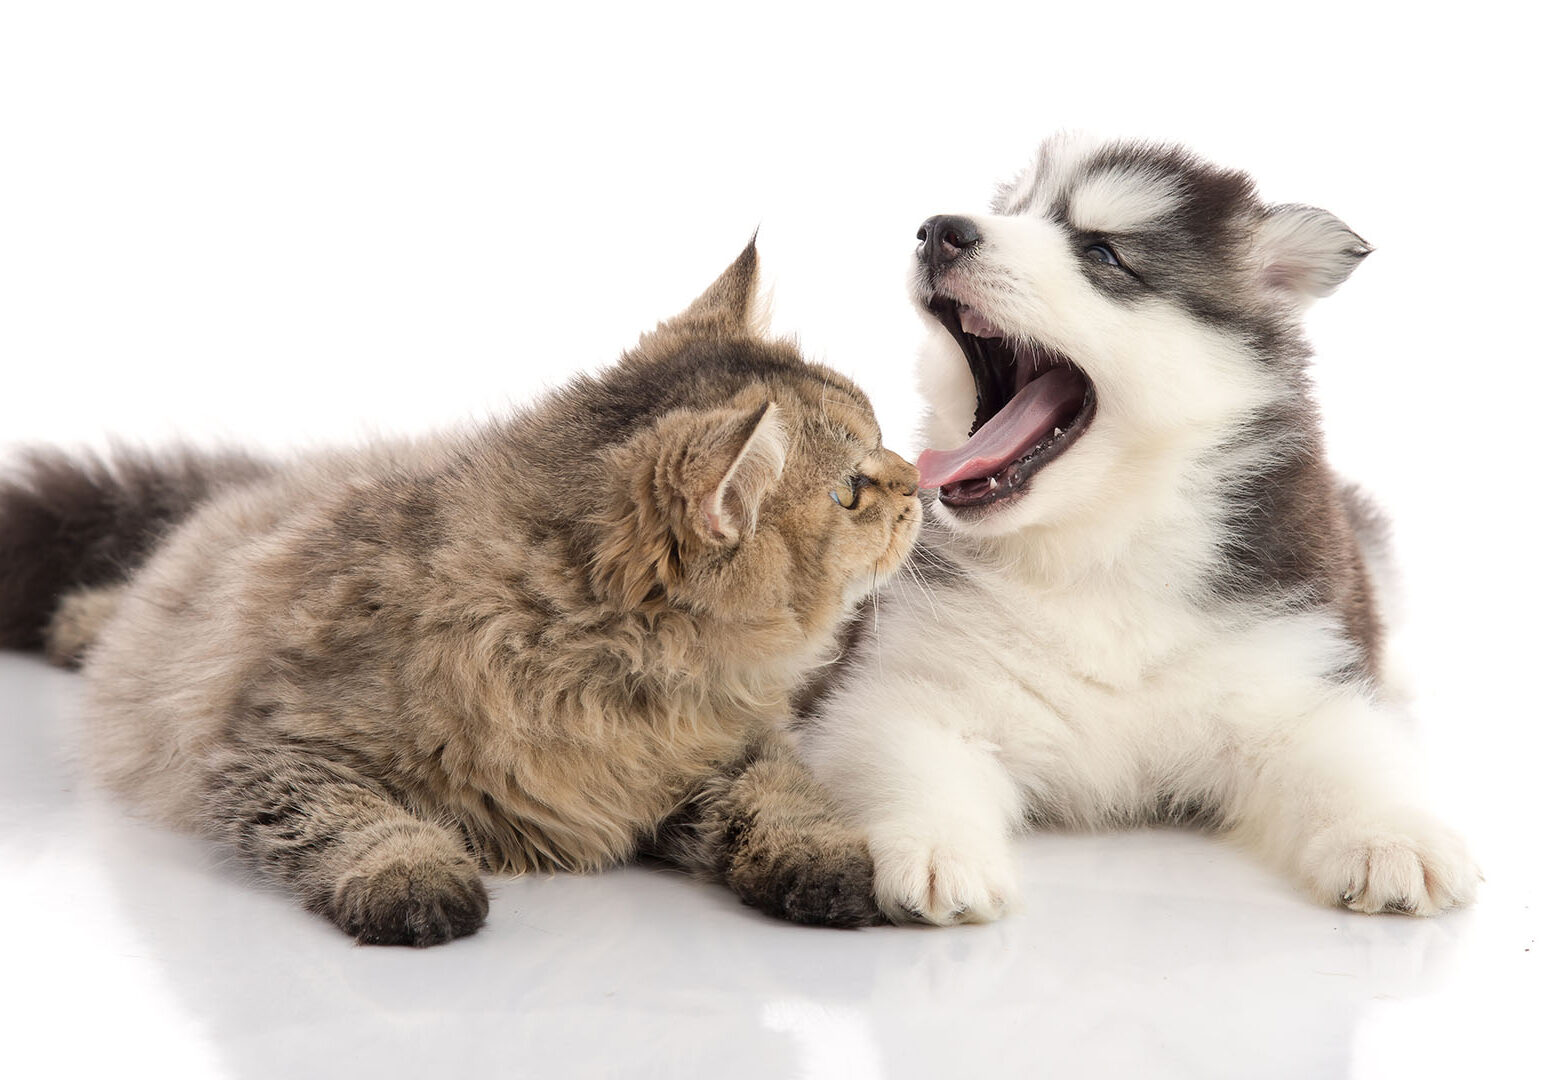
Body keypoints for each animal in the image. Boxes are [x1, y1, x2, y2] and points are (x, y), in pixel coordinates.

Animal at [0, 242, 914, 945]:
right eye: (850, 491)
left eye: (883, 439)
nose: (917, 480)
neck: (593, 664)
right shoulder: (267, 745)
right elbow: (354, 817)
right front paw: (413, 877)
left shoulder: (722, 753)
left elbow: (780, 794)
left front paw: (823, 862)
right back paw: (78, 621)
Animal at [802, 135, 1476, 927]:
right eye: (1016, 212)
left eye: (1101, 252)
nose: (939, 230)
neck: (1103, 543)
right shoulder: (900, 687)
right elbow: (909, 758)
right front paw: (937, 849)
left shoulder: (1301, 670)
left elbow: (1354, 760)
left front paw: (1395, 839)